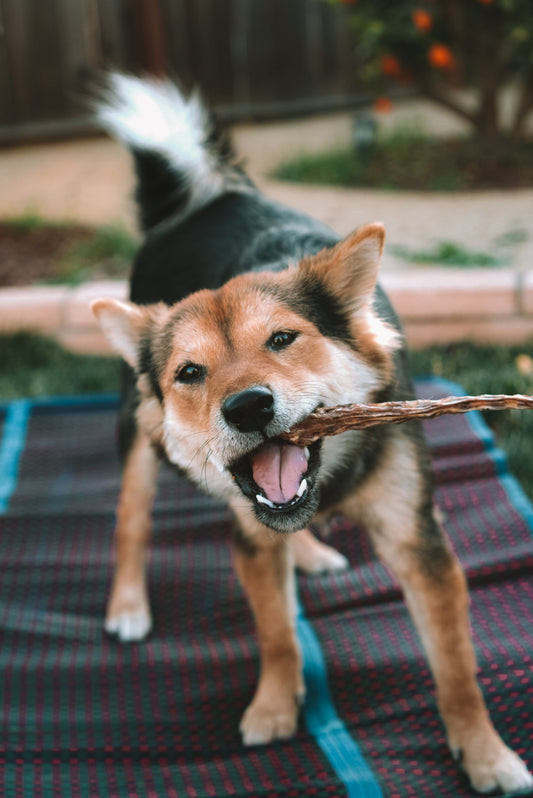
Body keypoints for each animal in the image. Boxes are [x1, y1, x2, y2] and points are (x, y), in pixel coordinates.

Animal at [89, 73, 528, 792]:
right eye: (189, 372)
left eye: (281, 340)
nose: (246, 407)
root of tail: (207, 199)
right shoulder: (249, 539)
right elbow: (276, 633)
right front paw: (273, 708)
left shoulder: (418, 540)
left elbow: (456, 666)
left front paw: (485, 753)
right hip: (138, 442)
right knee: (131, 519)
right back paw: (127, 607)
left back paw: (311, 553)